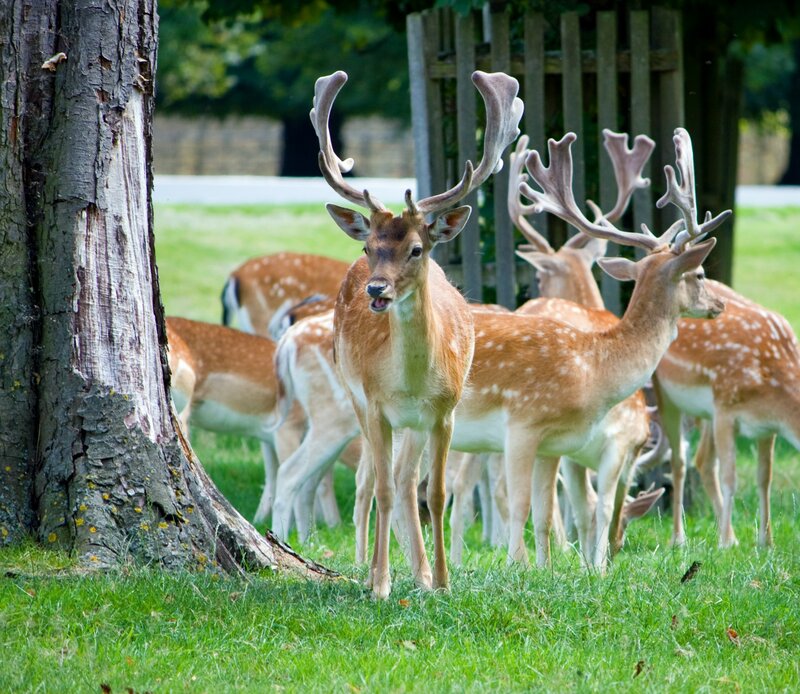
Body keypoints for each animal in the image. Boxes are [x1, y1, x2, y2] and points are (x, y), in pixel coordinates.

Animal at [310, 68, 523, 598]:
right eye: (369, 246)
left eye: (415, 249)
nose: (376, 289)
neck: (408, 381)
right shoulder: (376, 403)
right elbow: (384, 488)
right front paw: (381, 584)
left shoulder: (445, 411)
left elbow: (439, 492)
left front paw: (443, 582)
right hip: (356, 396)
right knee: (378, 482)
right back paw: (378, 571)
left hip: (416, 422)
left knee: (410, 480)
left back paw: (423, 574)